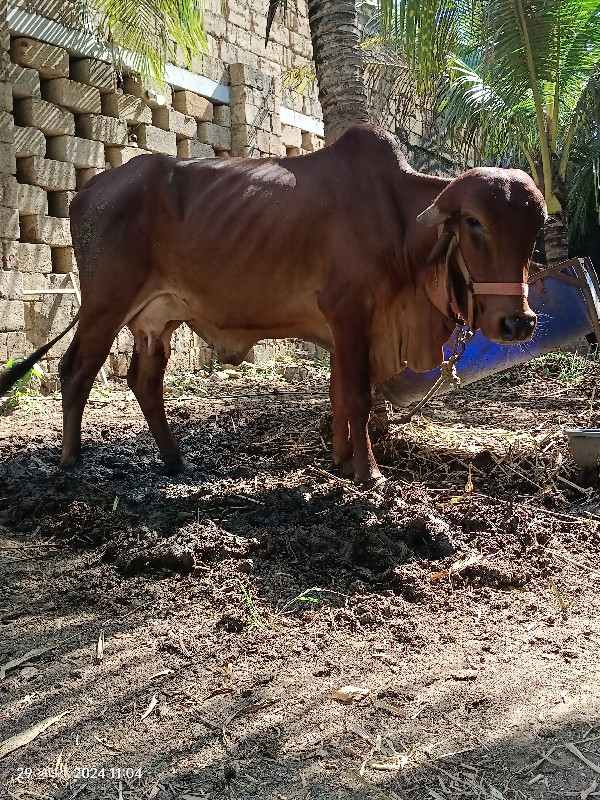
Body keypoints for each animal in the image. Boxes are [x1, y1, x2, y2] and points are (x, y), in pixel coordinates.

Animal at [0, 123, 548, 482]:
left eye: (535, 228)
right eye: (474, 223)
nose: (518, 324)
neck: (395, 217)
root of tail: (89, 188)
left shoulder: (344, 329)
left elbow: (340, 394)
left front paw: (341, 460)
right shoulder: (350, 312)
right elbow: (358, 395)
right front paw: (368, 474)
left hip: (158, 318)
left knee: (144, 381)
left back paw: (175, 460)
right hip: (104, 303)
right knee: (76, 370)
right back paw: (71, 462)